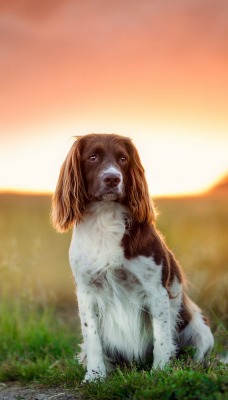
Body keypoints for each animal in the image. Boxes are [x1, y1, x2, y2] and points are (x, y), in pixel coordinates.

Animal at [51, 134, 214, 382]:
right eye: (93, 157)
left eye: (123, 158)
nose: (112, 178)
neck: (106, 218)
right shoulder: (86, 291)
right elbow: (93, 337)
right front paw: (95, 376)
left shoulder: (156, 290)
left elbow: (161, 338)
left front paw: (160, 371)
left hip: (201, 331)